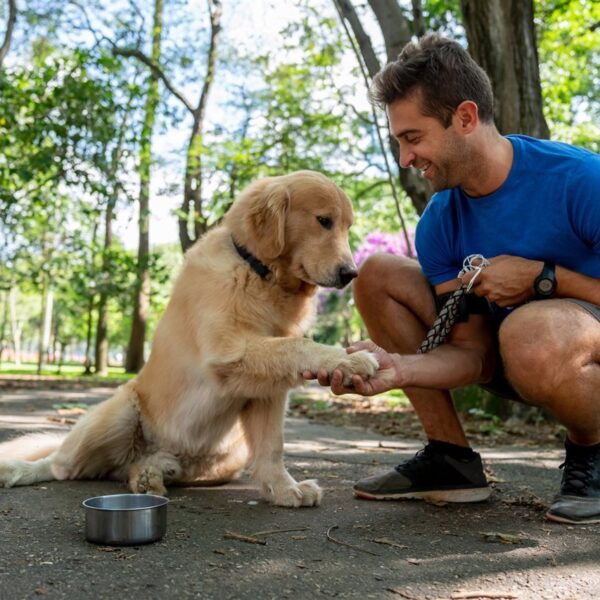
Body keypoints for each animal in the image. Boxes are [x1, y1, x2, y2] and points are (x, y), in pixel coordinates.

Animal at [0, 172, 376, 506]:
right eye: (324, 221)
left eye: (347, 227)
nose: (351, 273)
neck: (259, 273)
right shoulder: (227, 353)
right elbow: (297, 344)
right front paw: (348, 359)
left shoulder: (267, 391)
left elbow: (272, 447)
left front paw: (285, 490)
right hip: (118, 414)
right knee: (61, 466)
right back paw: (17, 471)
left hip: (228, 455)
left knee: (130, 469)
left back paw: (151, 473)